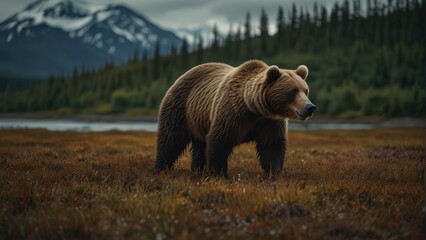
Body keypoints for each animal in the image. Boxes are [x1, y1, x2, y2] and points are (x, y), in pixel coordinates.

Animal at [155, 60, 314, 179]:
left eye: (305, 90)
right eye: (293, 90)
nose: (310, 107)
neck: (255, 109)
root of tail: (182, 75)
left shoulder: (269, 121)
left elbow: (272, 145)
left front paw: (273, 173)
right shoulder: (232, 113)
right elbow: (220, 140)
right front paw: (219, 175)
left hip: (199, 119)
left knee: (199, 146)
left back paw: (197, 170)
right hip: (180, 108)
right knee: (171, 139)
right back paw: (162, 168)